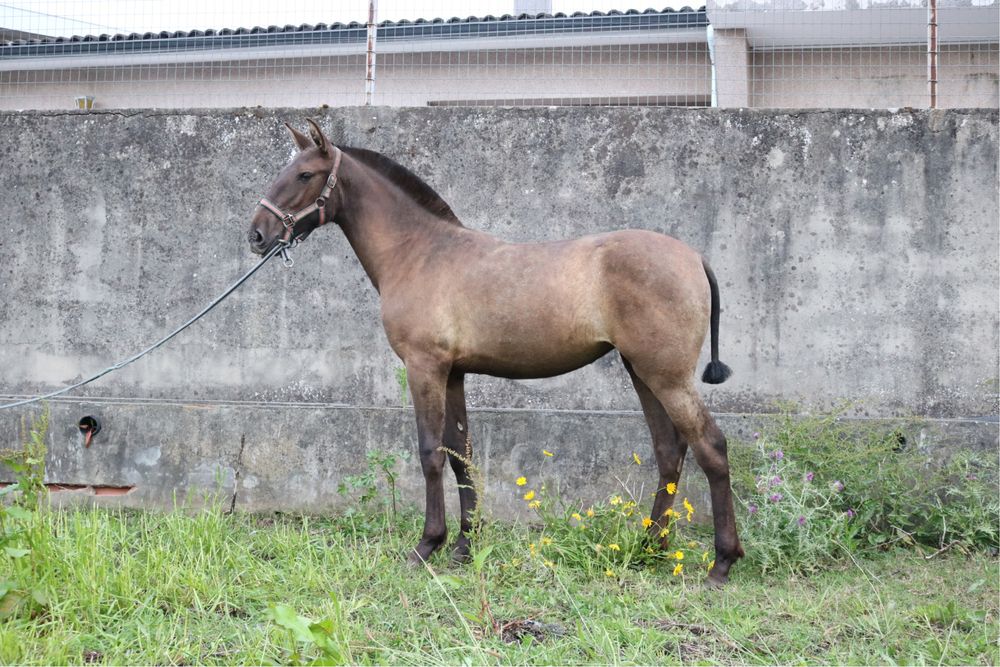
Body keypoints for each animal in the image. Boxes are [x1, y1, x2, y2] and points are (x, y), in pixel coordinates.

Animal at [246, 118, 740, 584]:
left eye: (305, 174)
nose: (256, 235)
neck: (420, 252)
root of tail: (694, 257)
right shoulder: (453, 373)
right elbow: (460, 455)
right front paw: (465, 547)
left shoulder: (425, 367)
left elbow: (431, 453)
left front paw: (427, 546)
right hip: (642, 371)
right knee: (669, 451)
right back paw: (650, 548)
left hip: (666, 376)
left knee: (711, 447)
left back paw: (721, 563)